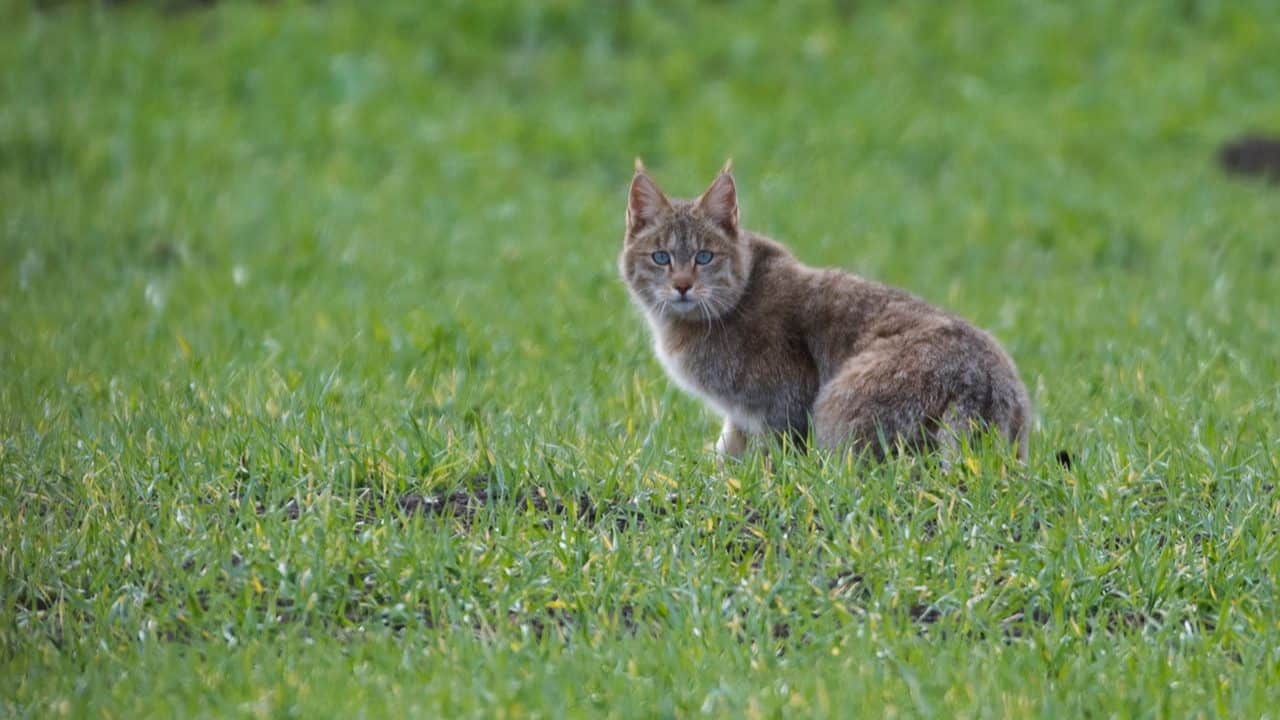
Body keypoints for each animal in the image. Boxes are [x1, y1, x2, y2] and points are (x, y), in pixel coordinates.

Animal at [616, 158, 1029, 458]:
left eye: (704, 257)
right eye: (661, 257)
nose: (683, 286)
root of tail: (984, 382)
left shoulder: (788, 400)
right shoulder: (742, 414)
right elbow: (730, 447)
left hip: (836, 405)